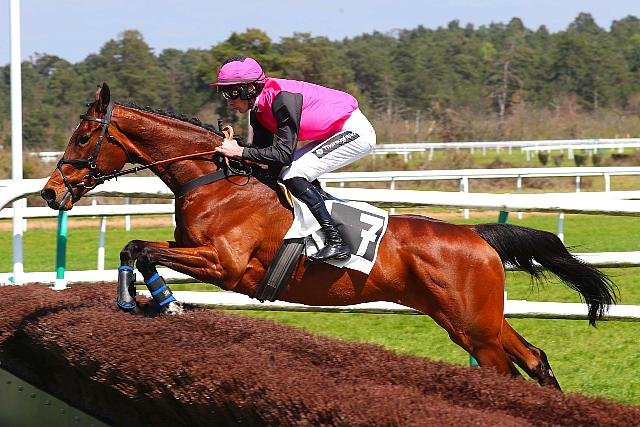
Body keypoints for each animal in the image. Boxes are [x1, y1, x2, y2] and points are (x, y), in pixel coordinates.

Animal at [41, 83, 617, 390]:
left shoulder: (224, 264)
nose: (50, 193)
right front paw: (156, 301)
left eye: (84, 136)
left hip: (475, 328)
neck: (215, 181)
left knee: (509, 373)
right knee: (535, 358)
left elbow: (140, 248)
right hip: (476, 321)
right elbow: (135, 249)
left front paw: (152, 301)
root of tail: (476, 235)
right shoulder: (200, 254)